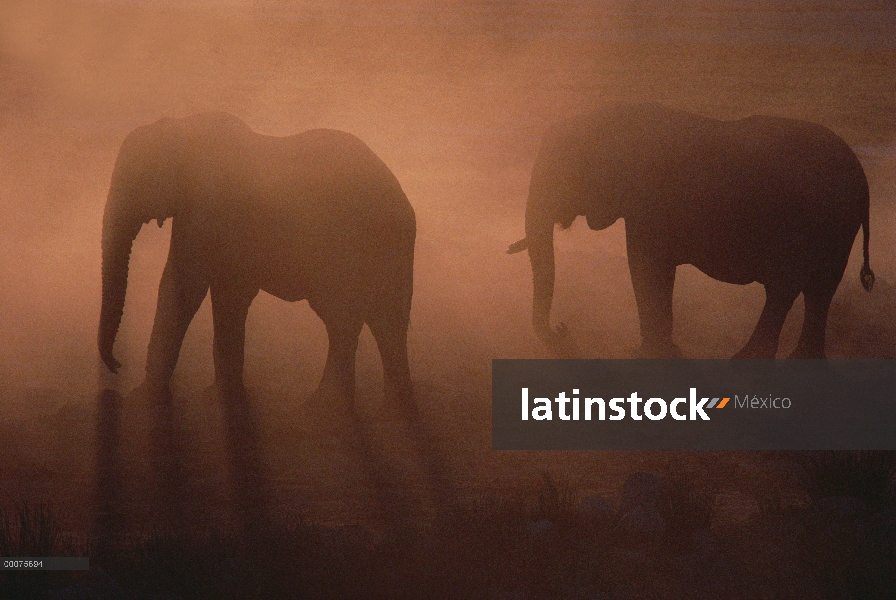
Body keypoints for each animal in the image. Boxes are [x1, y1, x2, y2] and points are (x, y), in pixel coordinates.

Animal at [99, 111, 416, 412]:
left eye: (137, 179)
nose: (117, 365)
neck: (182, 126)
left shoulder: (209, 207)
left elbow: (186, 287)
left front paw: (146, 397)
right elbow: (222, 294)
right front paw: (220, 396)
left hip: (351, 244)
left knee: (344, 318)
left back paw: (324, 408)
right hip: (392, 247)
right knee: (386, 321)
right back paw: (391, 409)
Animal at [512, 102, 876, 360]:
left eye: (561, 173)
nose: (562, 328)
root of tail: (861, 175)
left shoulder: (651, 202)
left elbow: (645, 268)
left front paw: (649, 355)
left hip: (817, 222)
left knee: (787, 286)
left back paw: (746, 361)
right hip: (838, 224)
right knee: (819, 288)